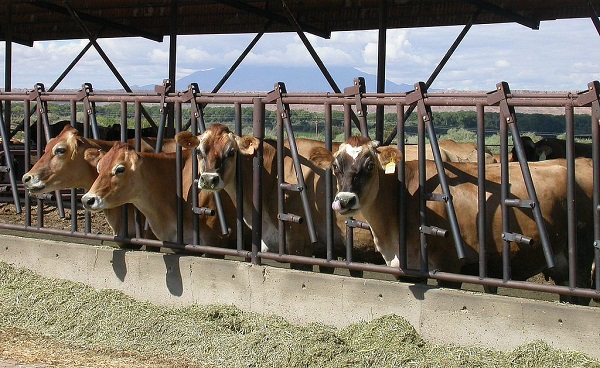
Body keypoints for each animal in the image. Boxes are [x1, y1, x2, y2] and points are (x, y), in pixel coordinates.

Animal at [312, 137, 592, 304]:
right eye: (336, 166)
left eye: (370, 166)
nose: (344, 200)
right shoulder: (409, 267)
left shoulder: (449, 266)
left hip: (580, 259)